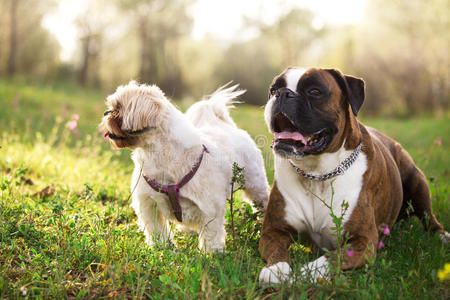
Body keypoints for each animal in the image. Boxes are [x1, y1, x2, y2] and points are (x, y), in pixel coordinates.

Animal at [100, 81, 268, 251]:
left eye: (118, 108)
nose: (106, 113)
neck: (159, 156)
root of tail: (227, 126)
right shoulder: (148, 203)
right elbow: (156, 230)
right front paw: (162, 248)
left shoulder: (210, 207)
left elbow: (211, 233)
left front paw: (212, 252)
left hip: (256, 187)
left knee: (260, 203)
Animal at [258, 67, 448, 284]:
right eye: (273, 89)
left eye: (315, 91)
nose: (282, 94)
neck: (318, 174)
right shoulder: (273, 231)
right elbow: (277, 251)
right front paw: (276, 269)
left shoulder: (363, 241)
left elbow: (332, 258)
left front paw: (305, 273)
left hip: (416, 181)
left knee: (429, 218)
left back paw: (443, 237)